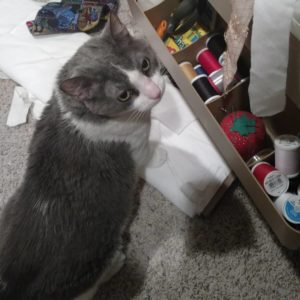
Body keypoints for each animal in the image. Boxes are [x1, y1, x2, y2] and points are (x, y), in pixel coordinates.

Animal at [0, 12, 164, 298]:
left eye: (145, 64)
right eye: (124, 95)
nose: (156, 92)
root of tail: (15, 285)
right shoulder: (136, 149)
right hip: (94, 263)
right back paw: (117, 263)